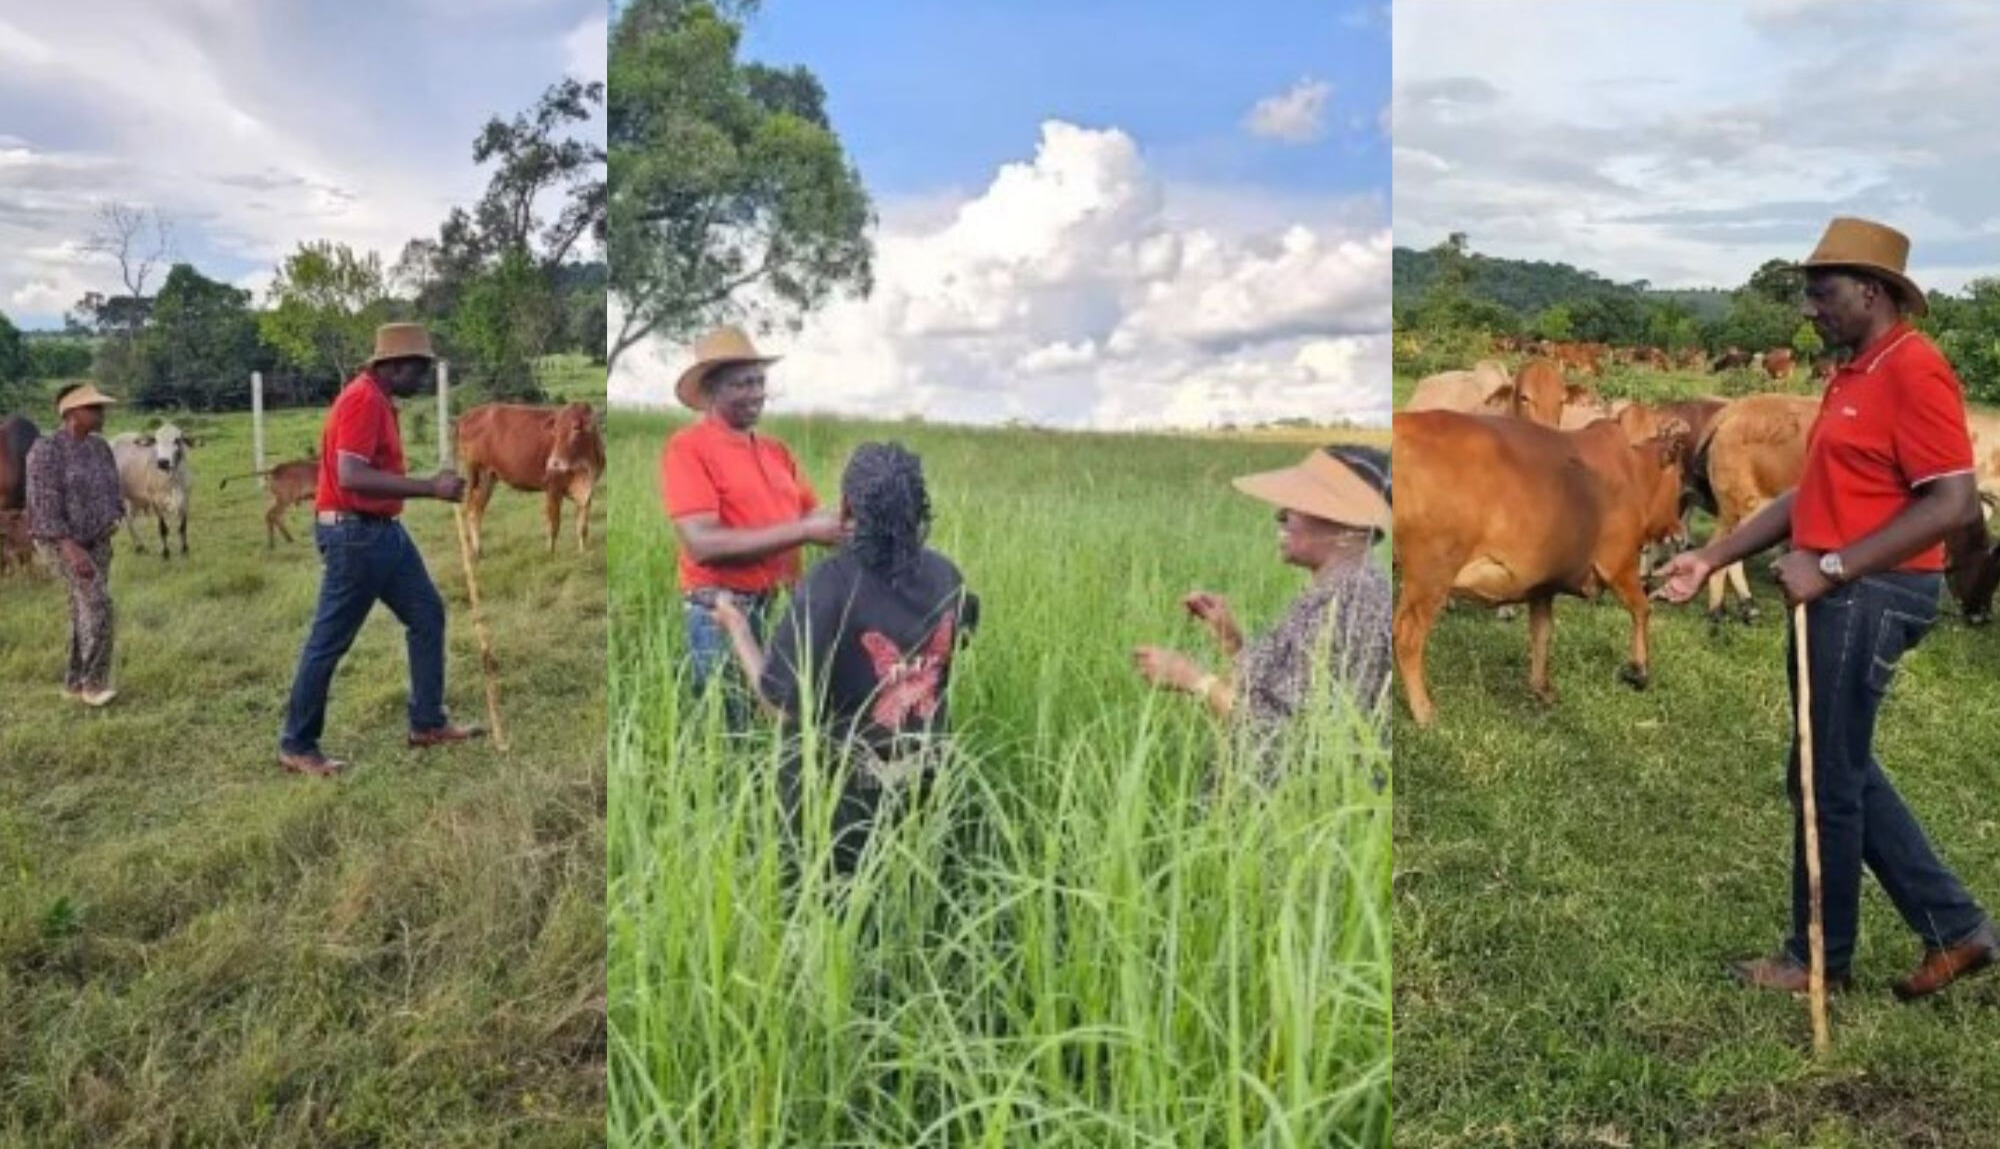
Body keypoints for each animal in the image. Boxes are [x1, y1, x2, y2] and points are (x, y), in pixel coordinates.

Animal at [458, 404, 604, 560]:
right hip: (475, 474)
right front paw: (550, 554)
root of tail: (469, 414)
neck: (584, 468)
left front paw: (584, 552)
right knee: (470, 509)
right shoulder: (553, 488)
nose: (553, 462)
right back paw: (474, 552)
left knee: (476, 511)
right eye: (555, 431)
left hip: (488, 476)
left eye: (576, 428)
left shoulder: (588, 490)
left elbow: (582, 526)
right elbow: (553, 525)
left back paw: (479, 551)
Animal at [1400, 410, 1696, 724]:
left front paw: (1542, 688)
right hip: (1431, 575)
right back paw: (1423, 710)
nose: (1679, 534)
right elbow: (1642, 608)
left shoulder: (1542, 586)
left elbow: (1542, 633)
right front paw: (1639, 669)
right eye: (1679, 476)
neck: (1632, 472)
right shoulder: (1619, 563)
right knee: (1407, 637)